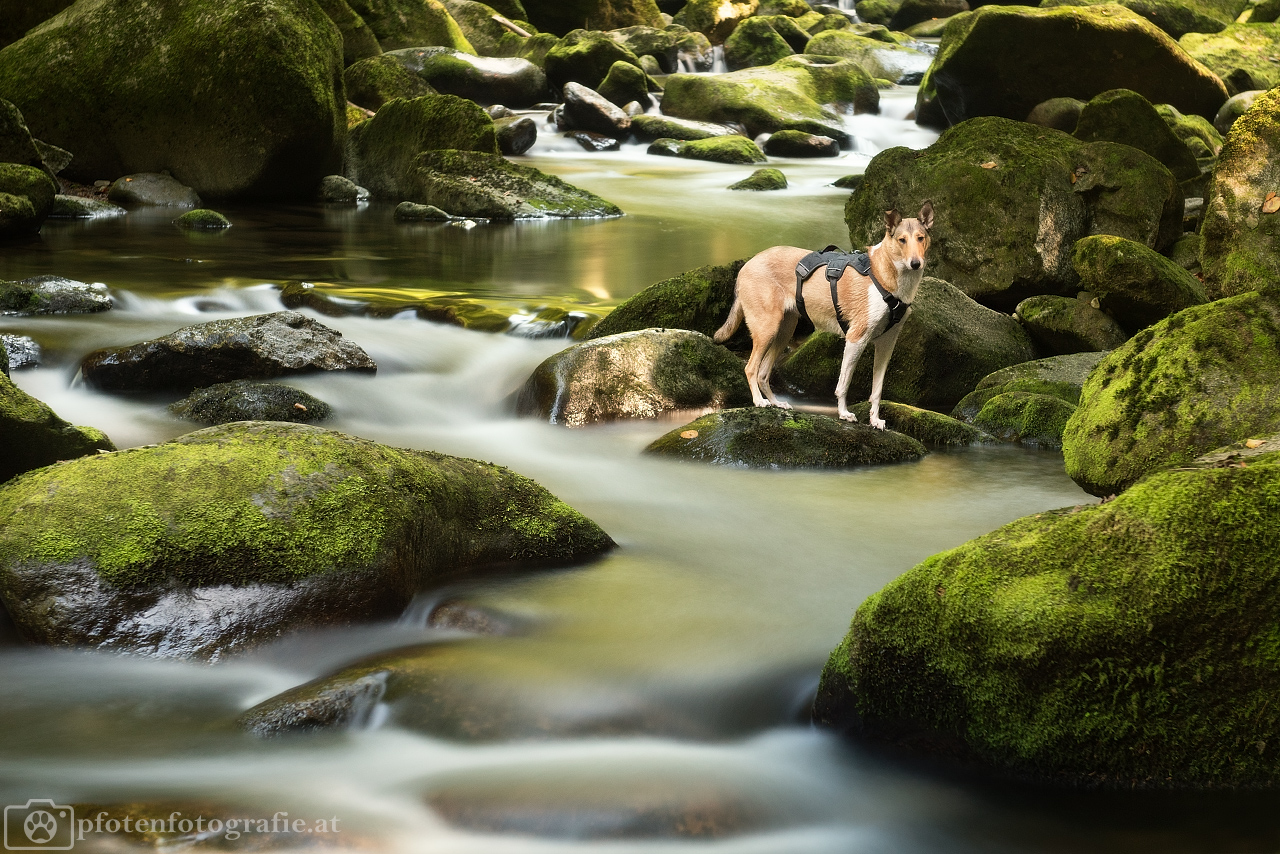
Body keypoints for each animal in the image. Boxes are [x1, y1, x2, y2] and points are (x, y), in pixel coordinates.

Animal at [711, 199, 931, 427]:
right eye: (902, 240)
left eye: (920, 238)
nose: (916, 263)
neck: (884, 275)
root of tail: (746, 265)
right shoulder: (856, 338)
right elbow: (843, 384)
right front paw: (844, 413)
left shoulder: (886, 343)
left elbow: (877, 390)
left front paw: (875, 420)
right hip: (767, 329)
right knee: (751, 368)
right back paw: (759, 401)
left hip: (784, 332)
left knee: (763, 373)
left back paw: (777, 403)